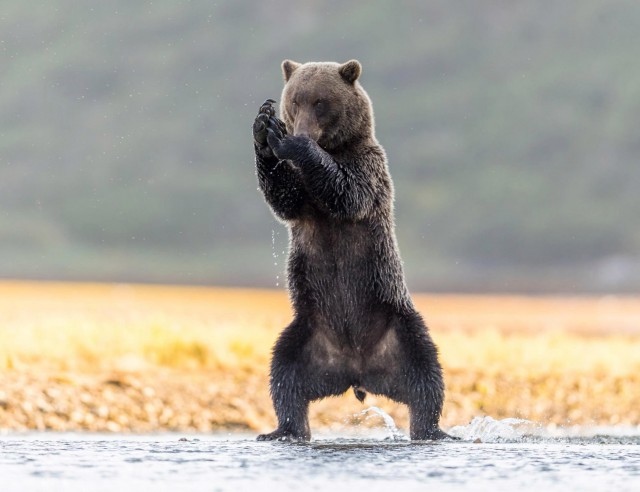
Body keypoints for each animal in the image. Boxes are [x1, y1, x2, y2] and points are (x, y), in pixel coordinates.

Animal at [252, 59, 448, 440]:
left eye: (320, 102)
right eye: (294, 100)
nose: (303, 129)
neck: (334, 148)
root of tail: (356, 369)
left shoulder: (368, 168)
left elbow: (346, 193)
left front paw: (288, 140)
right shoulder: (303, 202)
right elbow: (284, 198)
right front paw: (263, 126)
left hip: (397, 322)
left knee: (426, 372)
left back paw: (431, 429)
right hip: (307, 332)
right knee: (284, 373)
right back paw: (284, 428)